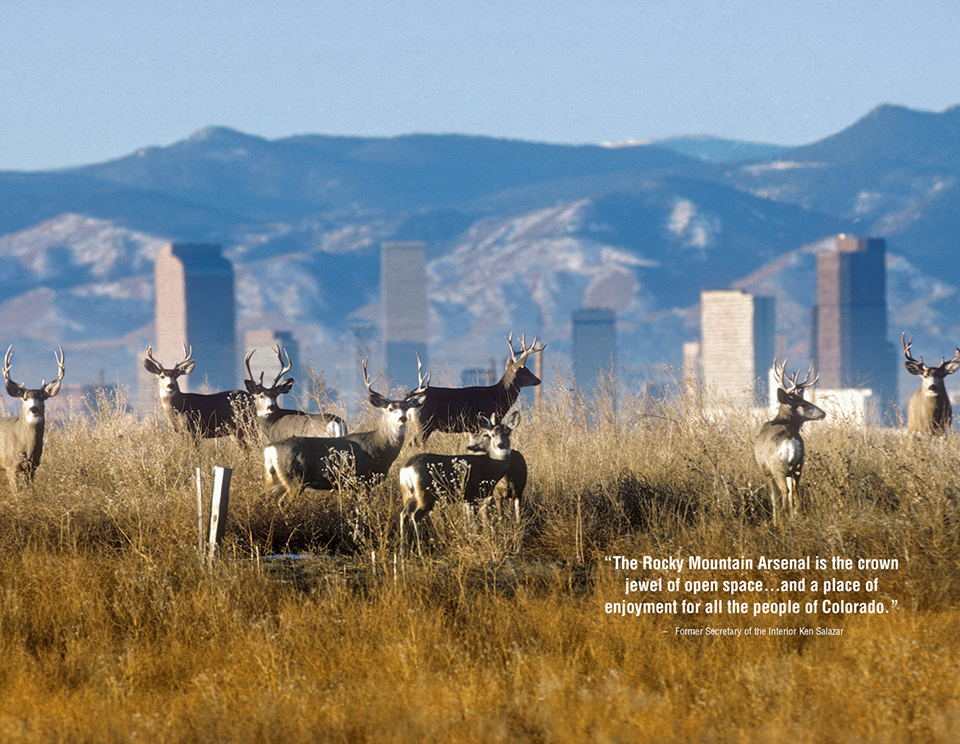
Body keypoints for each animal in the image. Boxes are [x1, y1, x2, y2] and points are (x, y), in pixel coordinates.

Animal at [0, 346, 64, 492]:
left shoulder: (32, 467)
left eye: (41, 397)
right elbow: (16, 493)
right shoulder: (10, 465)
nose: (33, 409)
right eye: (25, 398)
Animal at [262, 358, 428, 496]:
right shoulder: (362, 479)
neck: (380, 446)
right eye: (390, 408)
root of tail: (270, 449)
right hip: (295, 479)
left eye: (406, 407)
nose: (402, 418)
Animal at [398, 406, 516, 560]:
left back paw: (402, 552)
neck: (490, 466)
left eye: (507, 433)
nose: (501, 445)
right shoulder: (473, 495)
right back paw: (420, 552)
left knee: (403, 514)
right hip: (426, 494)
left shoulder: (467, 499)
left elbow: (469, 522)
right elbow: (473, 523)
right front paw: (475, 541)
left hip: (408, 493)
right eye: (491, 434)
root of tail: (407, 468)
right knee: (415, 515)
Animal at [752, 358, 824, 524]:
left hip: (778, 466)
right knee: (795, 491)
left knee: (784, 492)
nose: (823, 413)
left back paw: (781, 522)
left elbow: (774, 497)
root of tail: (790, 441)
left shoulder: (766, 470)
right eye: (803, 403)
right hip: (798, 464)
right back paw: (794, 517)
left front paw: (775, 520)